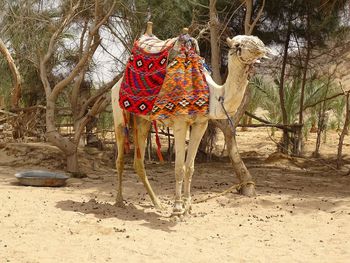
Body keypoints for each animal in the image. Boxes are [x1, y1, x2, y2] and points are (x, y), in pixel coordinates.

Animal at [110, 32, 266, 217]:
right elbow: (179, 167)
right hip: (119, 114)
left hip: (142, 121)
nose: (261, 47)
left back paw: (157, 204)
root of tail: (117, 83)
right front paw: (177, 208)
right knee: (120, 158)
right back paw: (119, 201)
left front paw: (188, 206)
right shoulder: (180, 123)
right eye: (238, 45)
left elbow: (190, 167)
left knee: (138, 162)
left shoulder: (201, 124)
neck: (213, 95)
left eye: (255, 39)